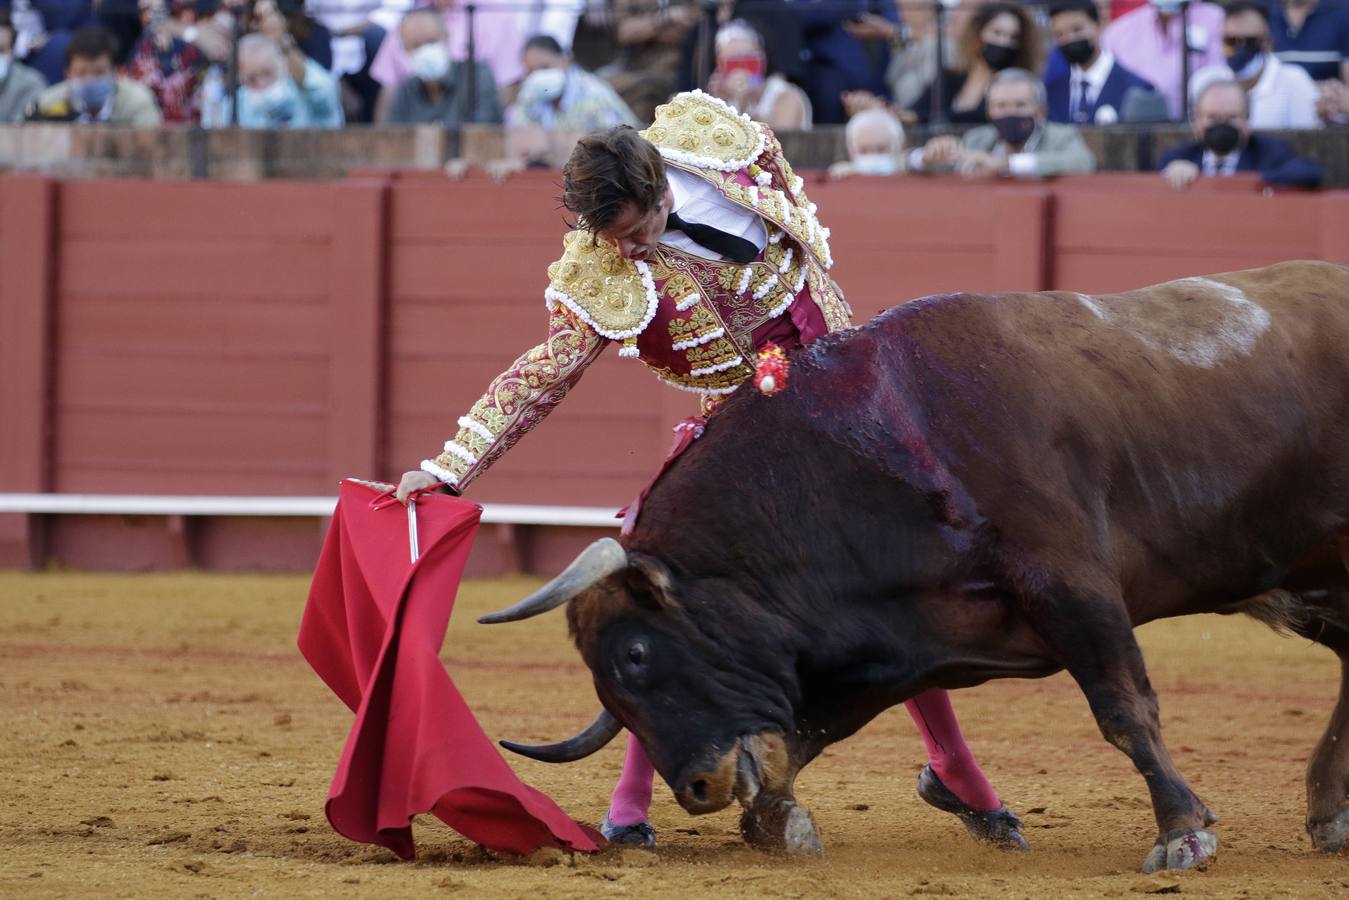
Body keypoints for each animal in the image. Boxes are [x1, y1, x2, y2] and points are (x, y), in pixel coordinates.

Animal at [477, 260, 1349, 874]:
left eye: (634, 654)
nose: (694, 790)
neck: (883, 443)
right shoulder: (905, 635)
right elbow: (808, 730)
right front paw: (777, 822)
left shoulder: (1071, 585)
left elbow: (1124, 709)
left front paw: (1181, 834)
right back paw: (1329, 814)